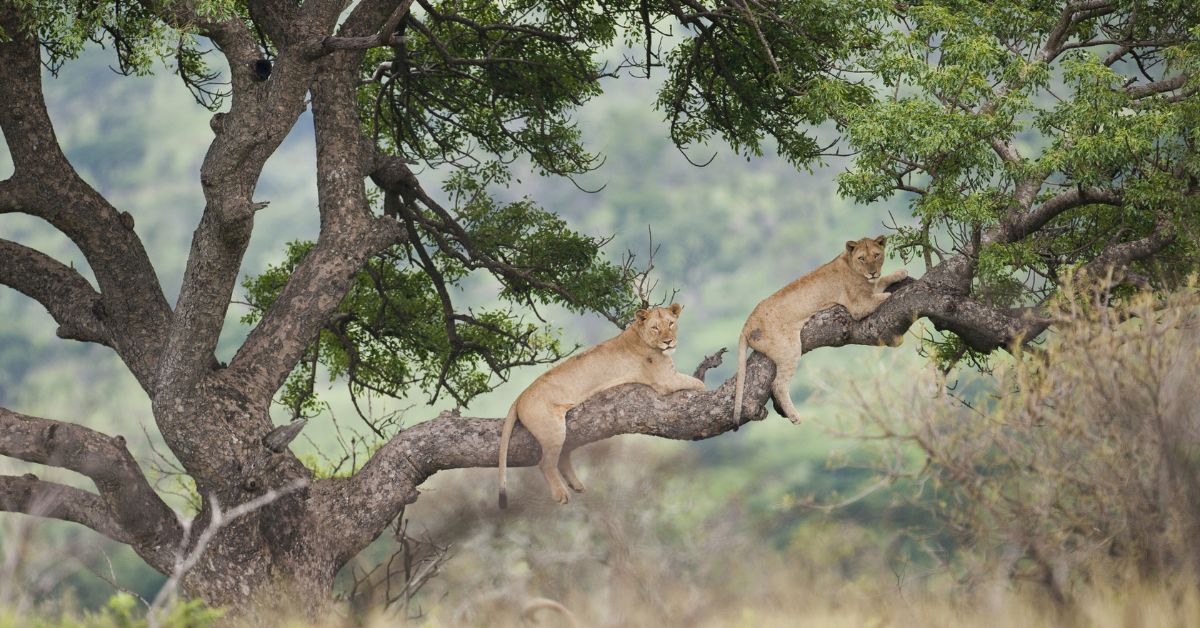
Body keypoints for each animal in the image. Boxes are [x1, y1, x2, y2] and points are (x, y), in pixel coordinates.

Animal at [499, 304, 705, 507]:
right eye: (655, 327)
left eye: (670, 323)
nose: (668, 342)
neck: (639, 334)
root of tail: (520, 396)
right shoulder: (666, 380)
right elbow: (699, 383)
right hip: (552, 429)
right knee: (546, 464)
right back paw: (561, 494)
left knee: (562, 457)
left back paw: (576, 484)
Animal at [733, 236, 908, 425]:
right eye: (862, 258)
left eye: (876, 255)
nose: (873, 272)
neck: (852, 266)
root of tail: (747, 324)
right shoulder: (858, 306)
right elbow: (883, 296)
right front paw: (892, 293)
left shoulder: (870, 287)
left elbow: (881, 282)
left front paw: (900, 272)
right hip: (789, 349)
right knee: (778, 385)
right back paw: (794, 416)